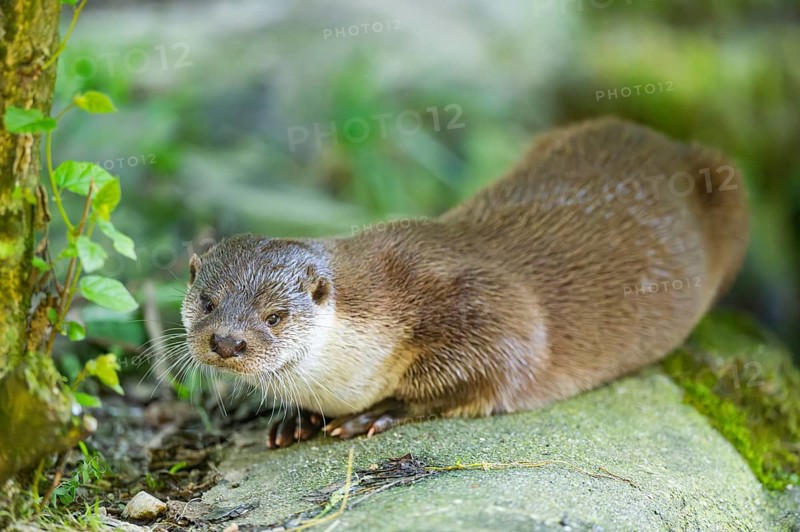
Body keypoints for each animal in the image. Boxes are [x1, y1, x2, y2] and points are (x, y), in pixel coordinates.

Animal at [181, 117, 748, 448]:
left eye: (275, 316)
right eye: (207, 302)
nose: (227, 341)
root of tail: (669, 145)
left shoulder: (487, 308)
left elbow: (488, 370)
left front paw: (377, 413)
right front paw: (295, 417)